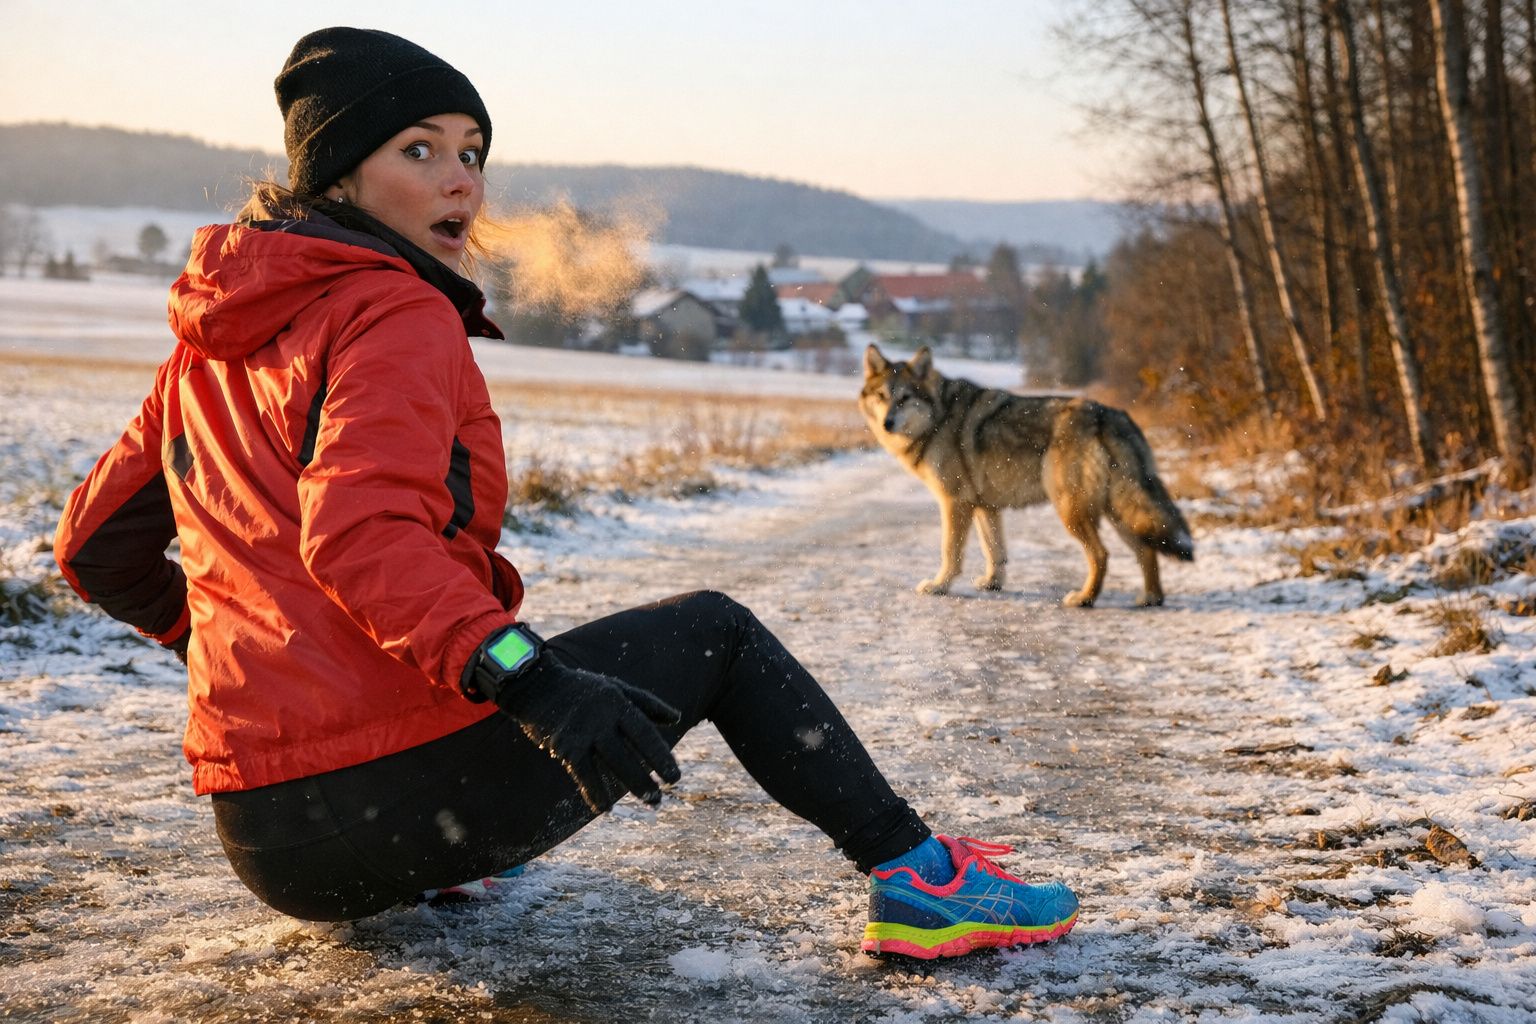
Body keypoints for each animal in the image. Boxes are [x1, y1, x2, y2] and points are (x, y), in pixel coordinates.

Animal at [859, 344, 1193, 607]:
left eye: (904, 398)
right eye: (881, 396)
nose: (887, 423)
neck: (937, 419)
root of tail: (1107, 414)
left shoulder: (955, 503)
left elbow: (950, 552)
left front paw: (939, 586)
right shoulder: (985, 506)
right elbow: (995, 551)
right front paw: (992, 584)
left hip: (1072, 510)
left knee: (1101, 554)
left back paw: (1084, 599)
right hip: (1117, 511)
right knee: (1147, 550)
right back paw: (1150, 599)